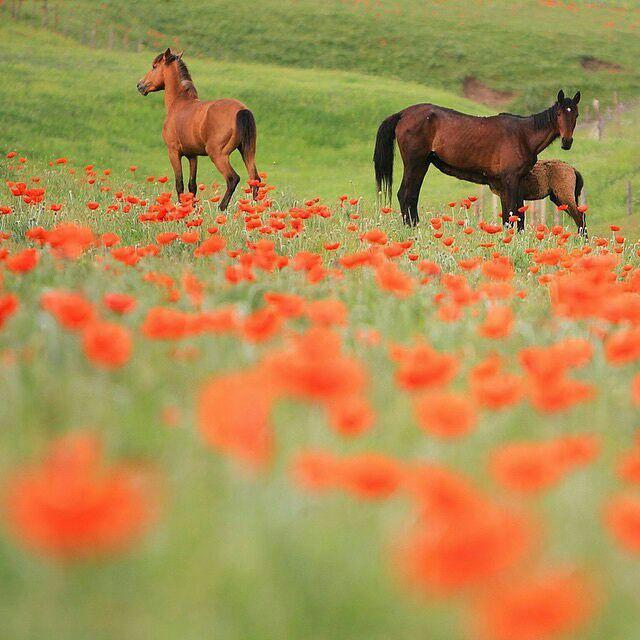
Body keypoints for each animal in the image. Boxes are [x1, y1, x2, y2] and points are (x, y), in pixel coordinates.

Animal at [138, 50, 260, 210]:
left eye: (154, 66)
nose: (140, 85)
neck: (179, 104)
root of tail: (242, 110)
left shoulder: (173, 152)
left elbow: (179, 183)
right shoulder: (192, 156)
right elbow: (192, 185)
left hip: (218, 155)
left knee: (233, 179)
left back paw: (221, 207)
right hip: (247, 151)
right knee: (254, 179)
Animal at [376, 89, 580, 230]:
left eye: (576, 114)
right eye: (559, 114)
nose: (567, 142)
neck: (523, 135)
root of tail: (404, 114)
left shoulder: (512, 183)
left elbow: (514, 216)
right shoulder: (510, 180)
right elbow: (513, 214)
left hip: (423, 163)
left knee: (411, 196)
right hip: (415, 163)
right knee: (405, 194)